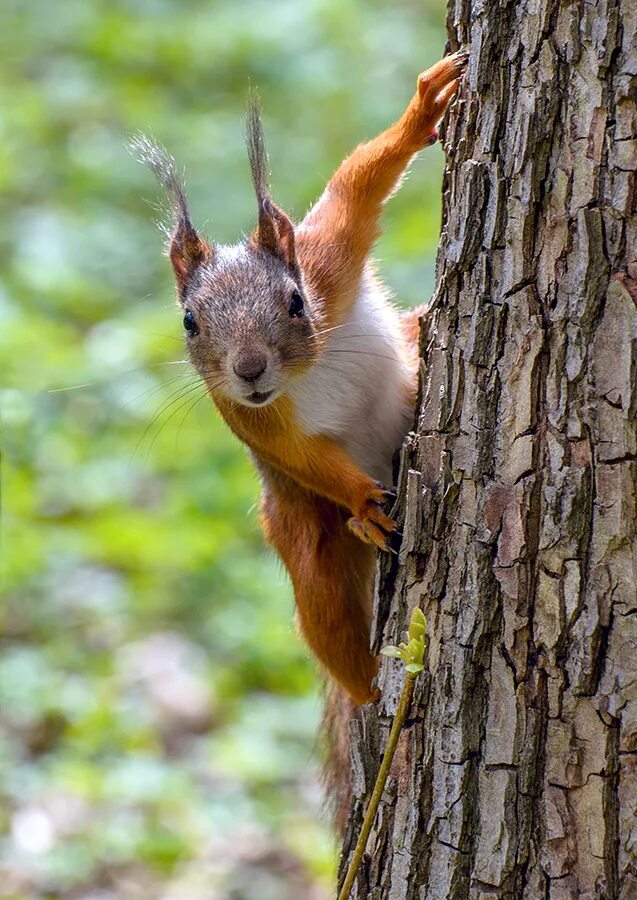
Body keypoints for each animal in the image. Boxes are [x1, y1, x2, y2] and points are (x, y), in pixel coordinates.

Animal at [132, 49, 464, 720]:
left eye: (295, 301)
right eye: (189, 321)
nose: (250, 370)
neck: (308, 370)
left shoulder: (327, 259)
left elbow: (358, 184)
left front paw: (421, 110)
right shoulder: (245, 414)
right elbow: (300, 455)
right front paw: (363, 503)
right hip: (300, 532)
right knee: (327, 619)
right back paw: (372, 683)